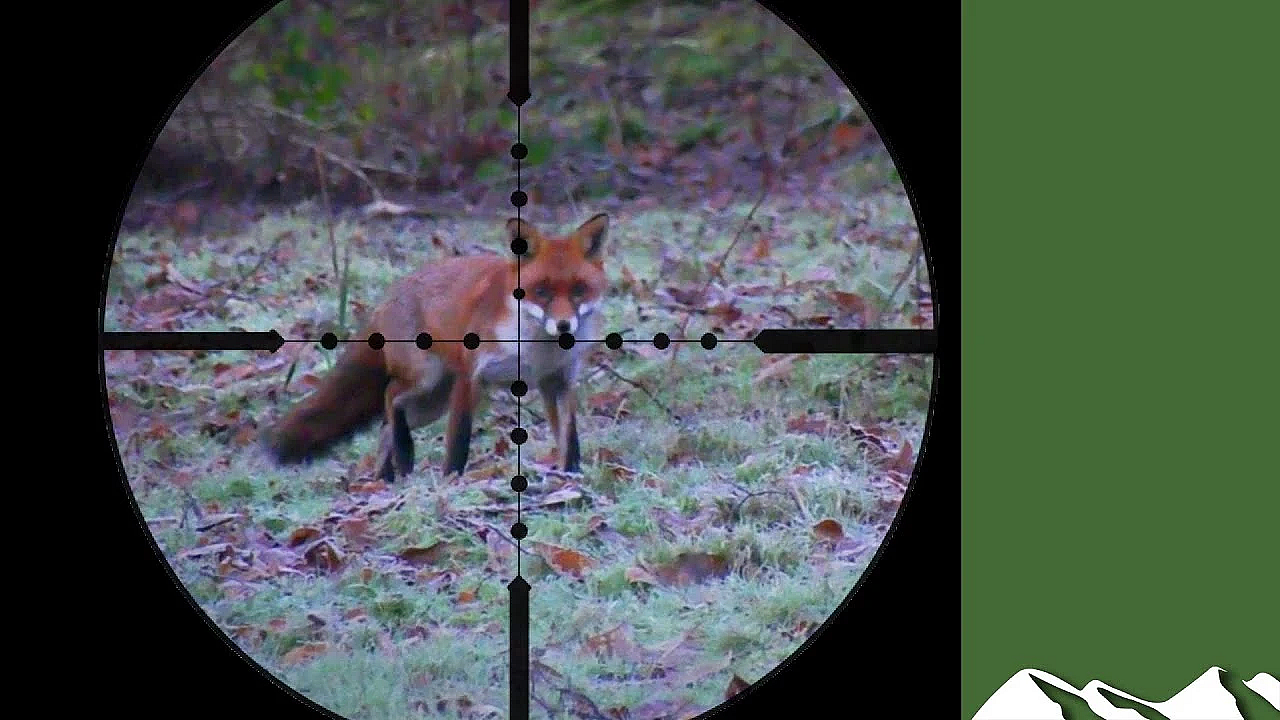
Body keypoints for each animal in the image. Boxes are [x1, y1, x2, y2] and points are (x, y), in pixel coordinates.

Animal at [263, 213, 610, 482]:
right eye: (542, 292)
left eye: (579, 290)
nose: (564, 326)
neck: (535, 349)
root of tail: (388, 296)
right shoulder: (470, 376)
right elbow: (459, 439)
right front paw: (451, 480)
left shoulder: (556, 381)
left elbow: (569, 437)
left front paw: (572, 475)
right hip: (426, 380)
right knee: (390, 396)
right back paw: (403, 457)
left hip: (433, 401)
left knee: (385, 426)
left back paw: (386, 479)